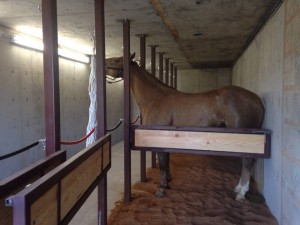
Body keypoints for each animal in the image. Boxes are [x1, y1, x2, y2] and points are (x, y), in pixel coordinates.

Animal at [106, 54, 264, 200]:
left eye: (118, 59)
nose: (104, 63)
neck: (156, 99)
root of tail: (257, 100)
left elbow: (162, 163)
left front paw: (161, 189)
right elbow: (166, 161)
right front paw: (167, 182)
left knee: (247, 162)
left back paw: (241, 192)